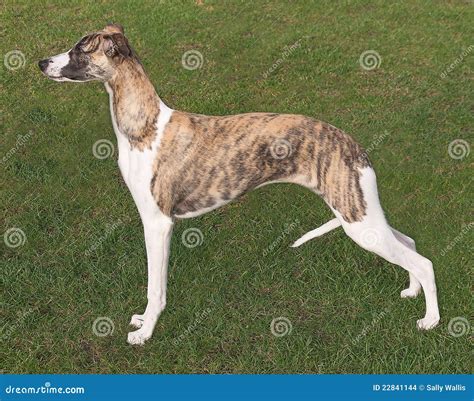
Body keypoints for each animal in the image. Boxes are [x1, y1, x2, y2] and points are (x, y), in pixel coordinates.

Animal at [38, 24, 440, 344]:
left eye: (80, 48)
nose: (42, 63)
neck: (145, 126)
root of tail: (355, 147)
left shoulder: (158, 223)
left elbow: (156, 289)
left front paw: (145, 333)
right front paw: (142, 322)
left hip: (358, 220)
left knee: (423, 261)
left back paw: (431, 321)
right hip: (363, 214)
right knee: (409, 242)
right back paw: (411, 292)